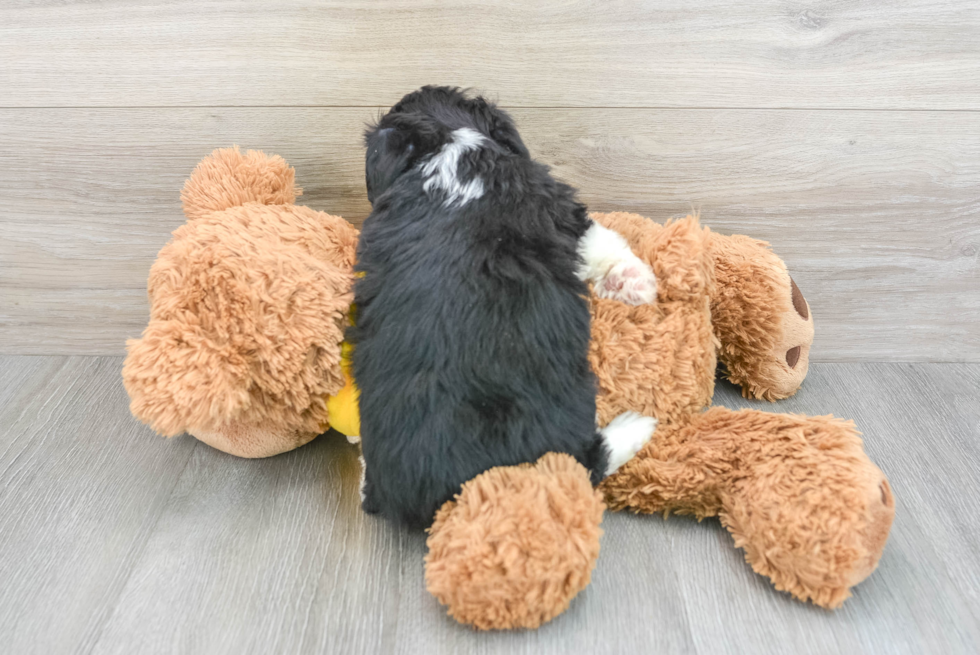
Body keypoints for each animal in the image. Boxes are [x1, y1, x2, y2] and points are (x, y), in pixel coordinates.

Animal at [354, 86, 660, 528]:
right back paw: (635, 427)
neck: (449, 142)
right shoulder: (559, 208)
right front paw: (637, 283)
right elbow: (600, 240)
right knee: (590, 461)